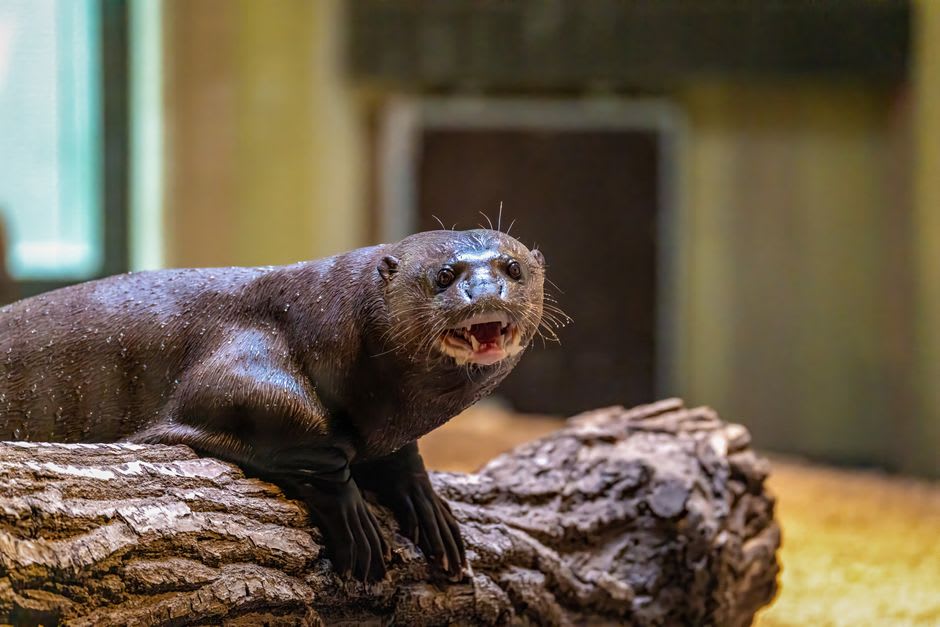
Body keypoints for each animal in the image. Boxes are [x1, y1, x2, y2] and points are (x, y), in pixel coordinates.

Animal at [0, 229, 546, 582]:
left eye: (513, 267)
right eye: (445, 274)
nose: (486, 292)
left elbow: (399, 452)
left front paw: (425, 503)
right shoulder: (244, 362)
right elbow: (292, 426)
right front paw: (353, 517)